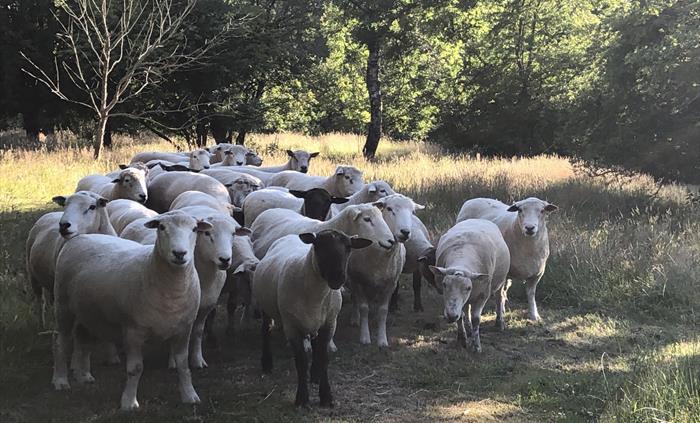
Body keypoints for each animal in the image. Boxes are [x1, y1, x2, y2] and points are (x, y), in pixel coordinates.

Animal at [26, 192, 117, 327]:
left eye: (92, 207)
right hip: (33, 275)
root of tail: (50, 214)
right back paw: (42, 325)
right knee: (40, 302)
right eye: (65, 205)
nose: (64, 225)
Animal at [51, 211, 211, 410]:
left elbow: (183, 364)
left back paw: (84, 376)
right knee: (61, 342)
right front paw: (129, 402)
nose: (180, 253)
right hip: (63, 305)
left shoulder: (184, 329)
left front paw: (190, 395)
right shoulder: (133, 331)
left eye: (195, 229)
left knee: (83, 339)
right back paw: (60, 380)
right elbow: (135, 369)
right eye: (162, 227)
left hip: (88, 311)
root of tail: (80, 237)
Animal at [252, 230, 372, 408]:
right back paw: (267, 364)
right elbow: (301, 362)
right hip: (265, 305)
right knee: (265, 331)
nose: (337, 278)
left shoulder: (329, 324)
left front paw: (326, 395)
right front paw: (302, 398)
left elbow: (323, 358)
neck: (316, 294)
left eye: (349, 247)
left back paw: (314, 374)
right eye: (318, 245)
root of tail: (289, 236)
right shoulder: (292, 327)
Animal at [346, 194, 423, 347]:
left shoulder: (390, 284)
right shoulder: (358, 281)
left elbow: (383, 311)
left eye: (413, 212)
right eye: (389, 209)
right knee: (355, 298)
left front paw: (382, 340)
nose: (405, 232)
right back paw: (355, 318)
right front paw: (365, 337)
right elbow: (363, 307)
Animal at [429, 219, 510, 352]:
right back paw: (469, 328)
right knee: (466, 309)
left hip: (500, 281)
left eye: (468, 288)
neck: (462, 258)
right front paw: (462, 338)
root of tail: (478, 219)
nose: (451, 316)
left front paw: (476, 346)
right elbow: (461, 316)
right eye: (444, 284)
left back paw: (500, 323)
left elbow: (476, 319)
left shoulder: (483, 295)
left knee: (499, 298)